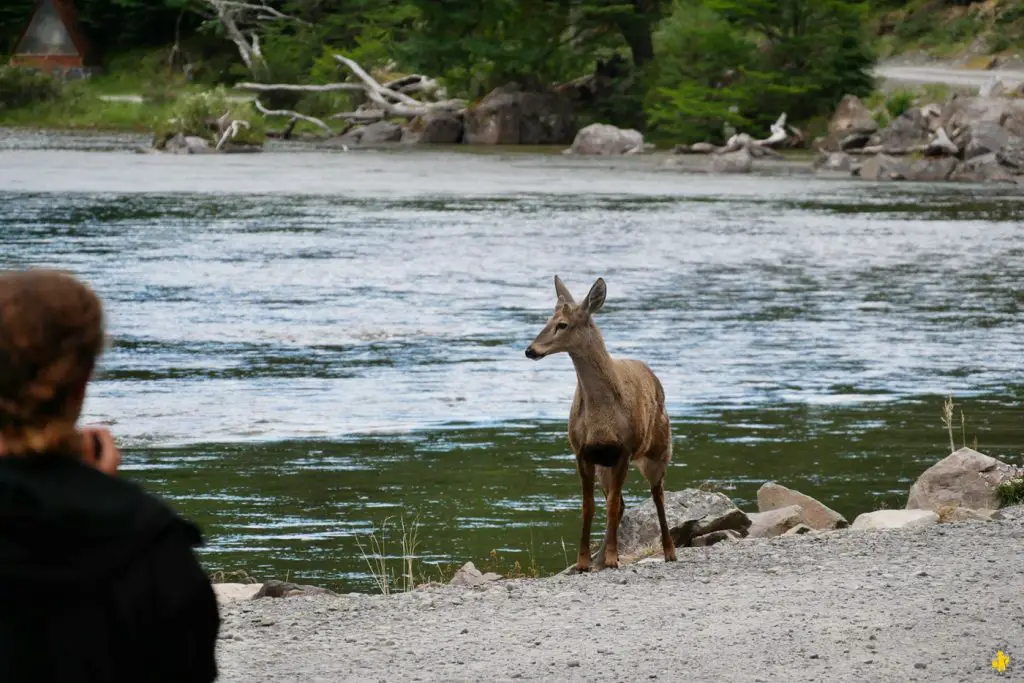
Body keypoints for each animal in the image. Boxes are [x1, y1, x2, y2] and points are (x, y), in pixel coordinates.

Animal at [524, 274, 675, 573]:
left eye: (562, 324)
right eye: (547, 319)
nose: (530, 350)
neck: (600, 419)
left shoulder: (624, 450)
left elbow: (614, 505)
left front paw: (613, 558)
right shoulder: (582, 451)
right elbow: (589, 506)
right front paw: (583, 561)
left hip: (659, 449)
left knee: (658, 495)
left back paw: (669, 552)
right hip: (607, 465)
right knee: (622, 502)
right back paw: (600, 558)